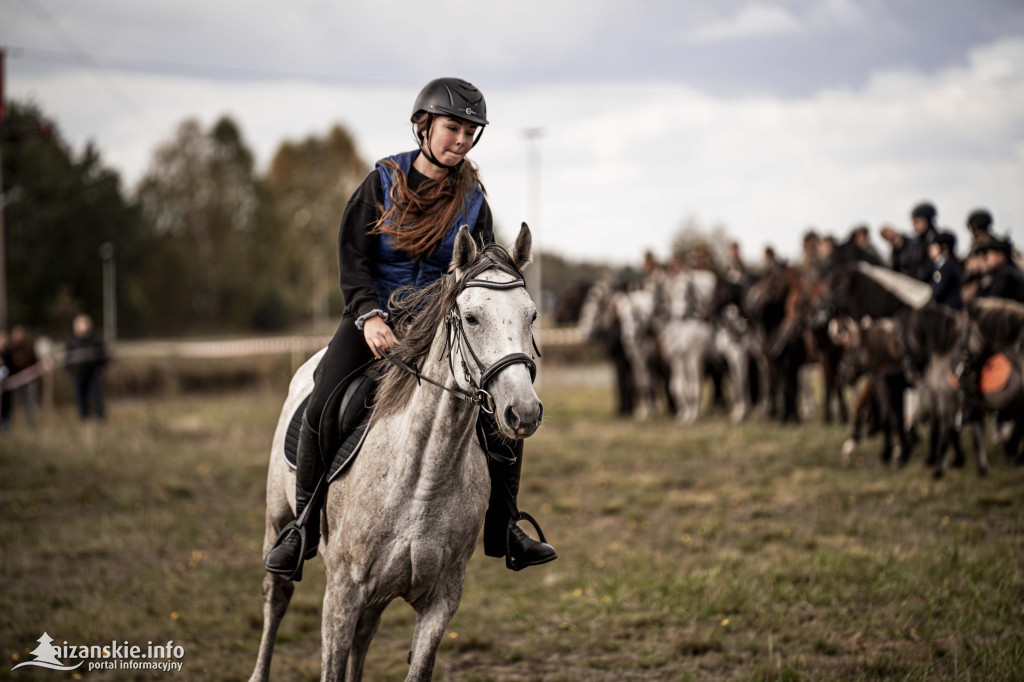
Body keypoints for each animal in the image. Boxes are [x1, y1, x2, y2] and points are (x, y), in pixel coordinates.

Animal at [248, 224, 544, 679]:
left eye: (531, 315)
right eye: (472, 317)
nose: (523, 411)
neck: (424, 479)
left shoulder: (441, 601)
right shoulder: (341, 597)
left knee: (364, 635)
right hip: (277, 521)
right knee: (276, 597)